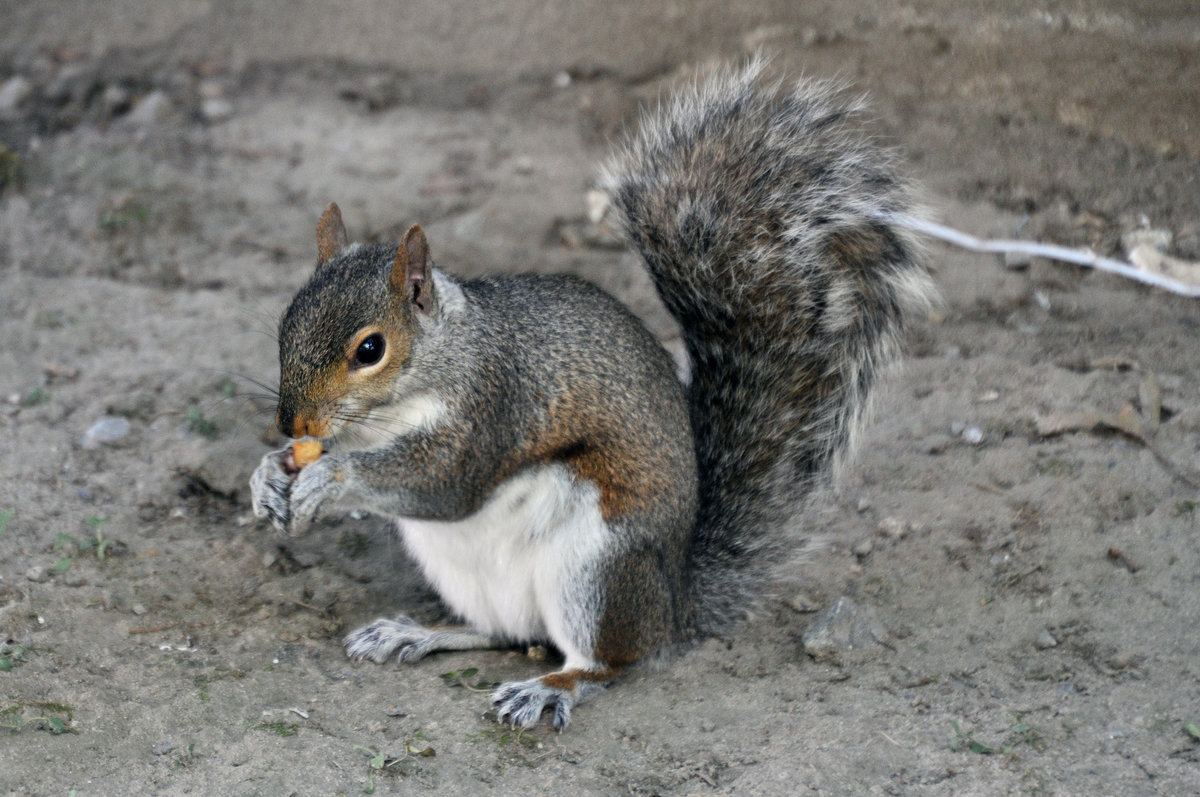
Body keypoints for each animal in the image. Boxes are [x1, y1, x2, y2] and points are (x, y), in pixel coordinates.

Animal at [248, 62, 931, 729]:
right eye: (285, 322)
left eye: (371, 349)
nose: (291, 422)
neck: (392, 412)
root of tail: (672, 605)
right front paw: (268, 476)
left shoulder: (495, 406)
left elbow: (445, 483)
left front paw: (329, 478)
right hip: (465, 574)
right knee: (502, 631)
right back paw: (415, 633)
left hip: (594, 569)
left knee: (603, 662)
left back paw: (549, 689)